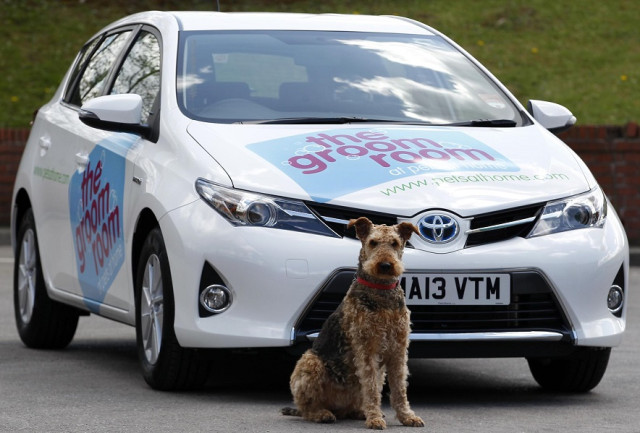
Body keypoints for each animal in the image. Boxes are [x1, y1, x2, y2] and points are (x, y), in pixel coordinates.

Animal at [282, 216, 422, 428]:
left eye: (395, 243)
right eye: (373, 242)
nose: (385, 265)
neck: (381, 294)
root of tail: (338, 407)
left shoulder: (398, 349)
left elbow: (399, 388)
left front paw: (407, 416)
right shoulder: (366, 349)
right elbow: (371, 388)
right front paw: (375, 420)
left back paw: (361, 412)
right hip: (310, 362)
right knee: (307, 407)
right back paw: (323, 414)